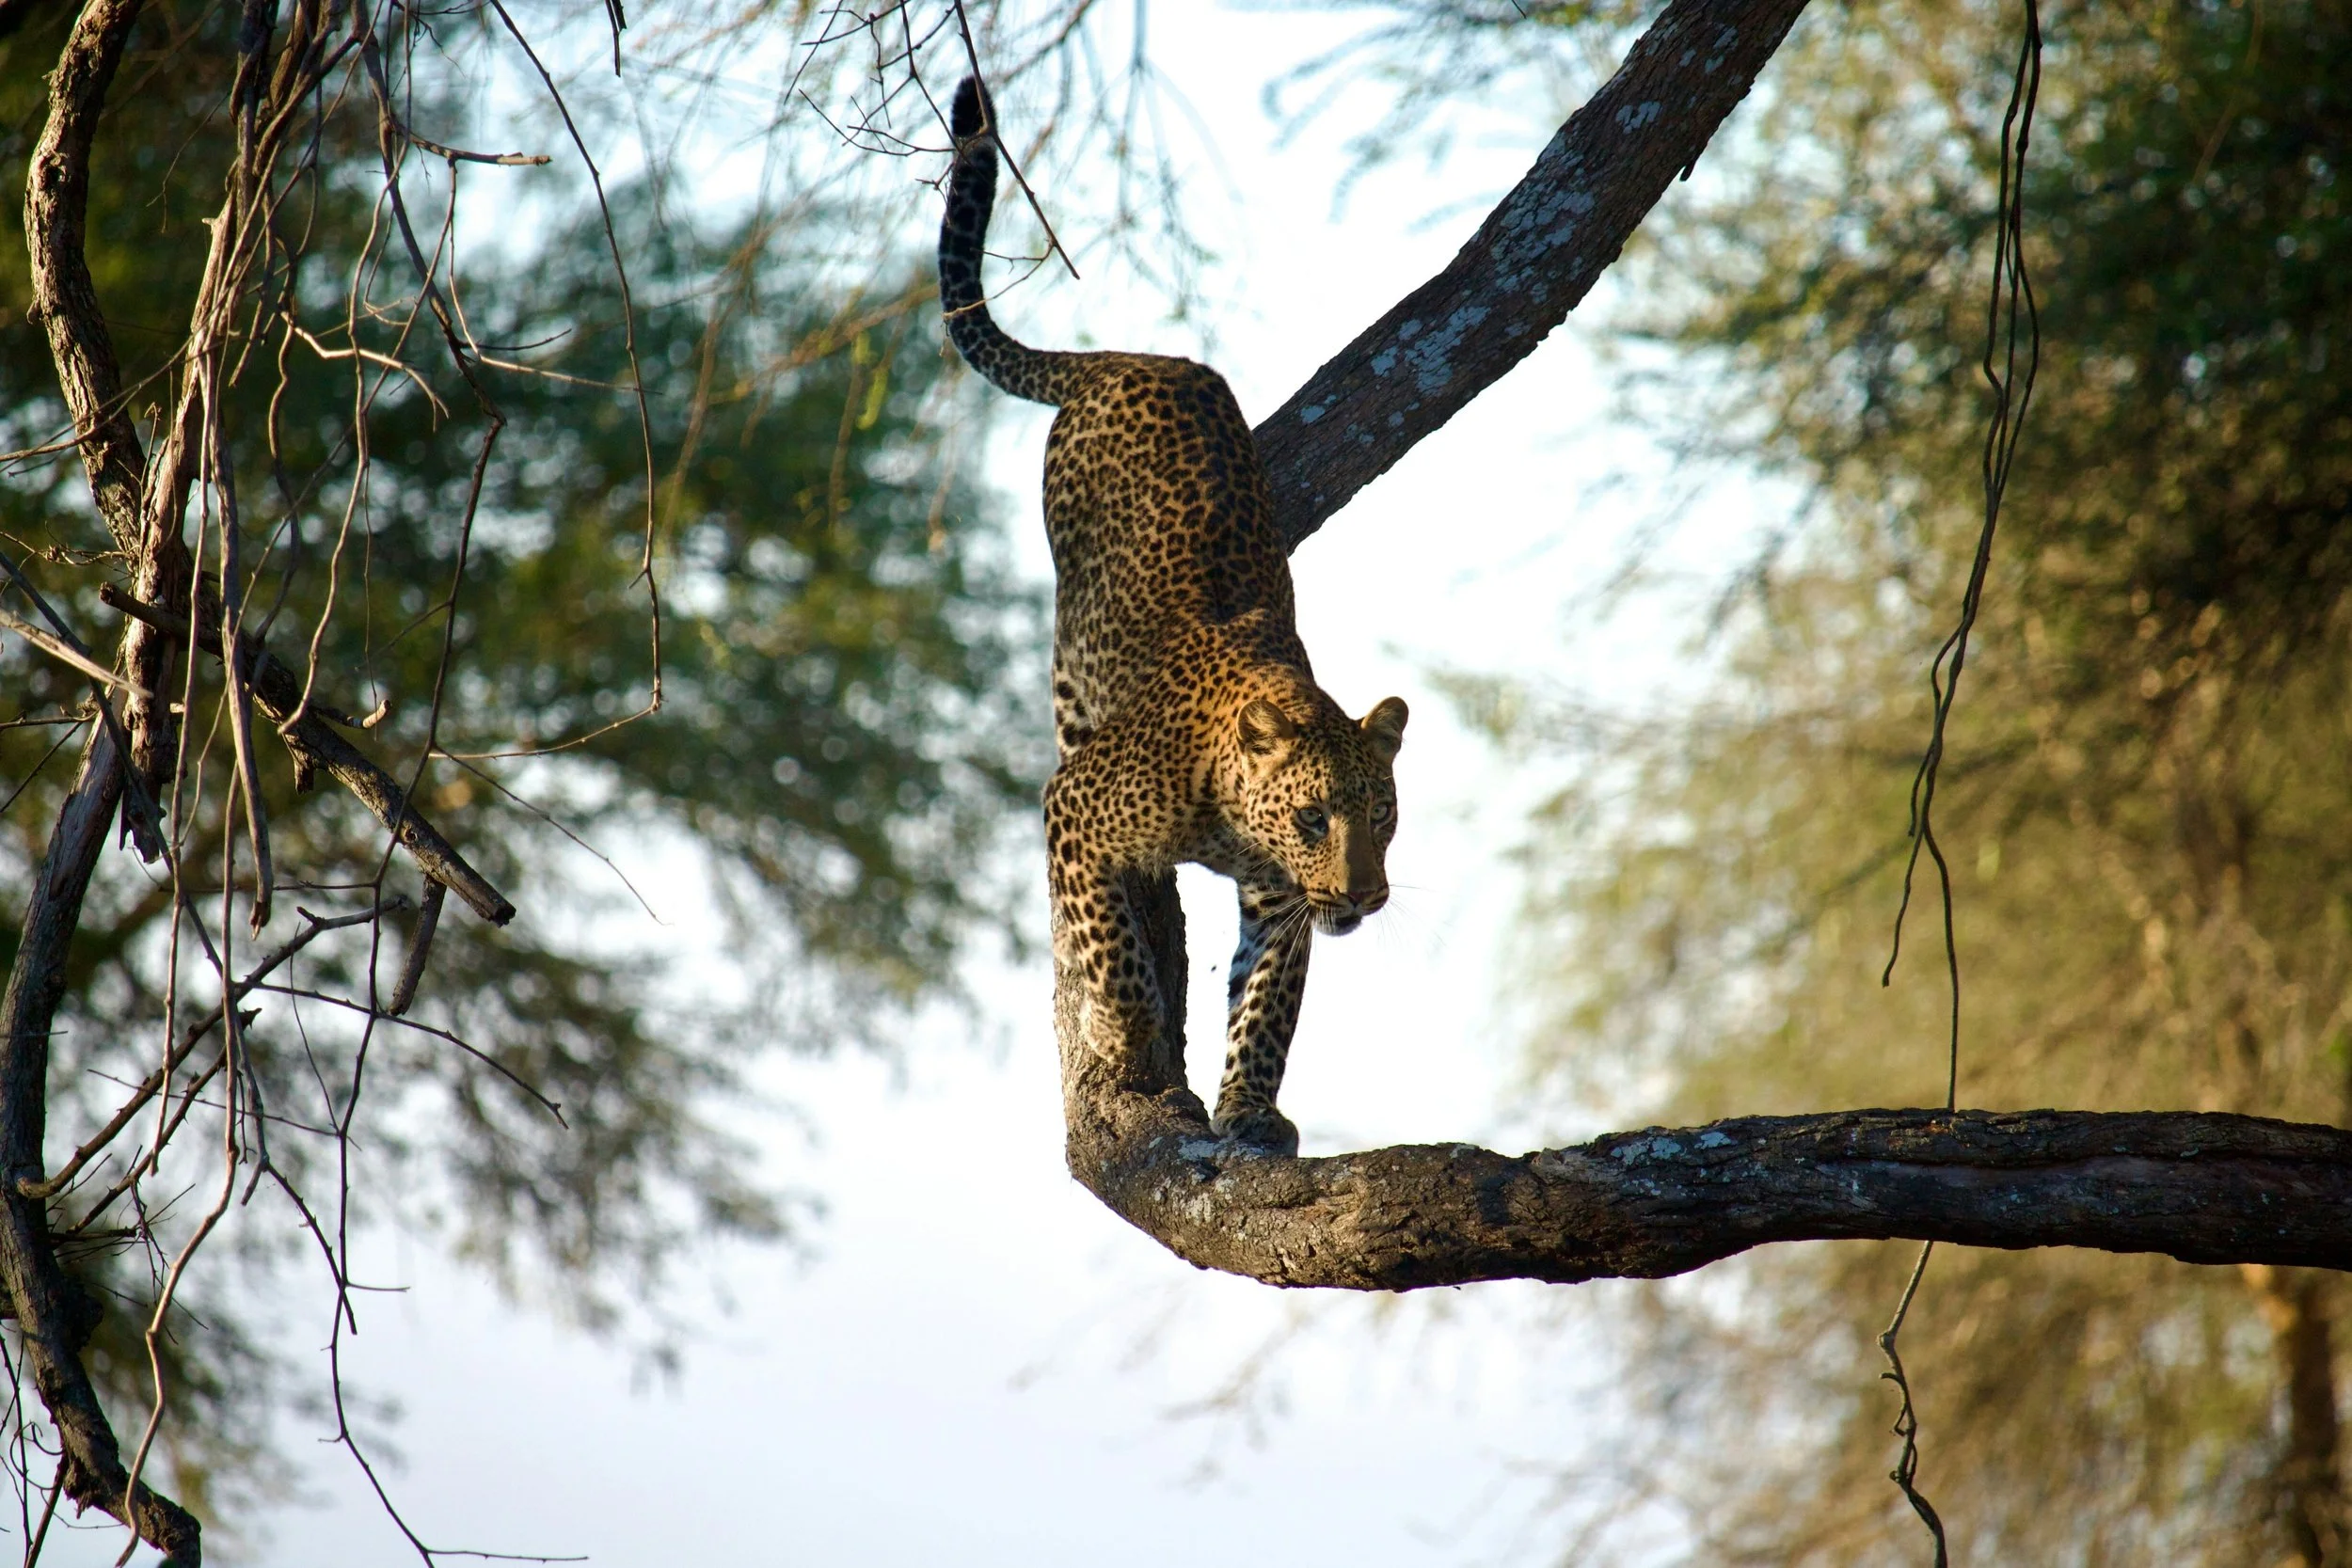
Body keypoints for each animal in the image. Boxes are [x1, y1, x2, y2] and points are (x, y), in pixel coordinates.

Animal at [938, 76, 1408, 1156]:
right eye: (1315, 817)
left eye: (1382, 815)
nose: (1364, 894)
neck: (1230, 814)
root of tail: (1130, 357)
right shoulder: (1076, 804)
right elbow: (1111, 947)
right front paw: (1131, 1040)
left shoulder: (1279, 901)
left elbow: (1268, 1003)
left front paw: (1251, 1110)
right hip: (1069, 648)